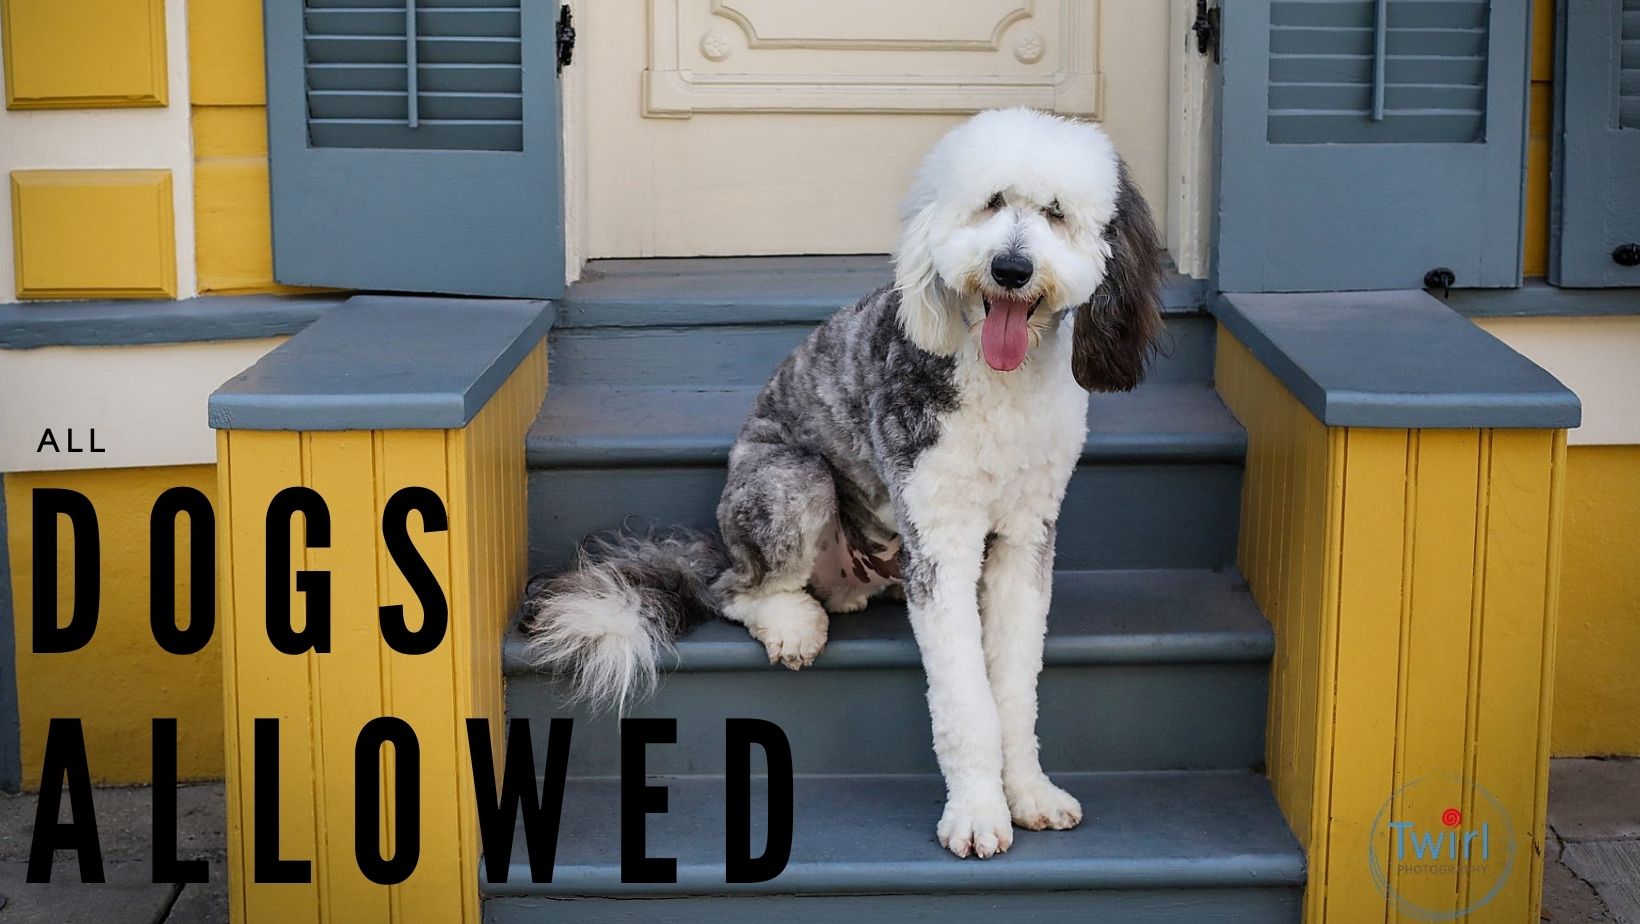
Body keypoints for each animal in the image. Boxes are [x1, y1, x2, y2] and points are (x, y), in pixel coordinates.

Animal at [524, 106, 1167, 859]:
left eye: (1057, 213)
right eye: (989, 204)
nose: (1010, 268)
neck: (999, 378)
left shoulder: (1024, 538)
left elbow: (1013, 686)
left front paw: (1030, 793)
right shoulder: (940, 542)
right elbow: (965, 697)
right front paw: (977, 812)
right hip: (792, 482)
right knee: (735, 588)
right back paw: (793, 624)